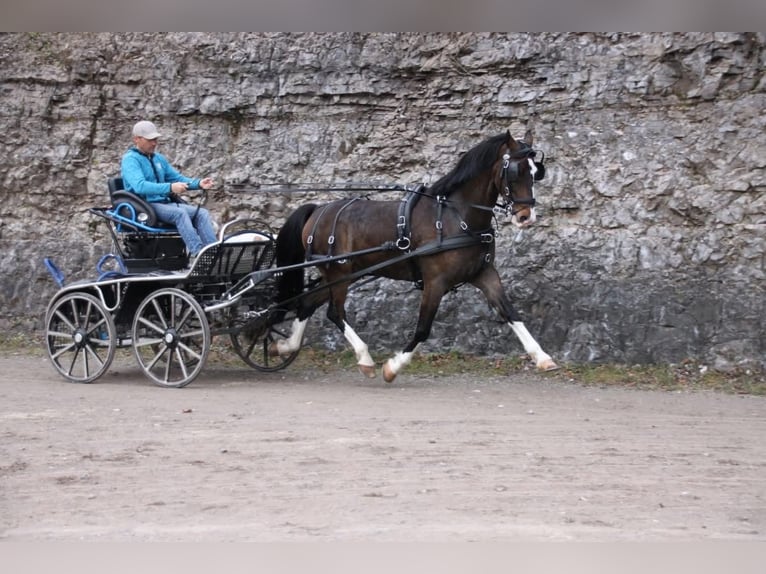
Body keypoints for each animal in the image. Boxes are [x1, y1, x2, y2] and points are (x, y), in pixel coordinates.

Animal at [272, 130, 558, 382]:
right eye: (515, 171)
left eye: (536, 172)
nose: (526, 216)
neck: (456, 217)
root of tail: (318, 210)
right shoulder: (435, 282)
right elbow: (422, 329)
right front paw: (392, 367)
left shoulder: (483, 274)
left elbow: (511, 313)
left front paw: (543, 358)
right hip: (339, 273)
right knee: (334, 312)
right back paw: (364, 358)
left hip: (345, 273)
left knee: (308, 303)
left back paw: (286, 346)